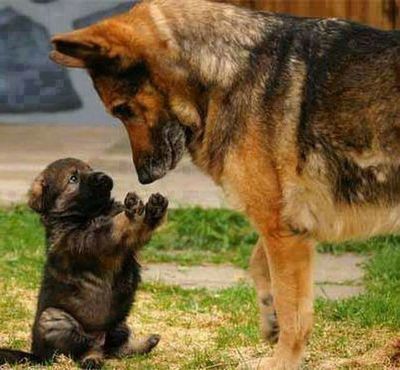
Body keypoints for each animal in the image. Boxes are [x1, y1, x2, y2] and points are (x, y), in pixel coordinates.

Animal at [0, 158, 167, 368]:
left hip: (118, 323)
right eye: (73, 178)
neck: (92, 214)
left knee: (115, 348)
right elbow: (117, 226)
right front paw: (134, 212)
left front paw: (153, 209)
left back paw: (143, 344)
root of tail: (37, 355)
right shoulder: (95, 240)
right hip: (53, 320)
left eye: (90, 169)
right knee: (86, 348)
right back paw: (92, 359)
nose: (104, 177)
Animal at [49, 1, 400, 368]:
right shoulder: (283, 229)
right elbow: (259, 267)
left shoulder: (281, 231)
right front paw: (270, 317)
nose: (144, 176)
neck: (221, 74)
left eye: (122, 110)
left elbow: (294, 313)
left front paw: (281, 358)